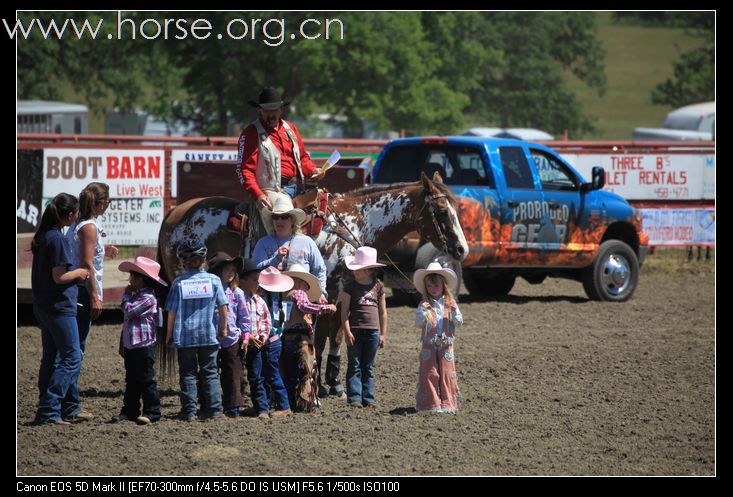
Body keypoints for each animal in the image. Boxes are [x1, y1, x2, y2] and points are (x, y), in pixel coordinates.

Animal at [159, 174, 468, 396]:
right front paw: (319, 381)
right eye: (442, 211)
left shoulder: (341, 290)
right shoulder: (327, 289)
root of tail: (175, 214)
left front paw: (334, 381)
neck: (352, 226)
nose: (462, 249)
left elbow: (337, 335)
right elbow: (320, 336)